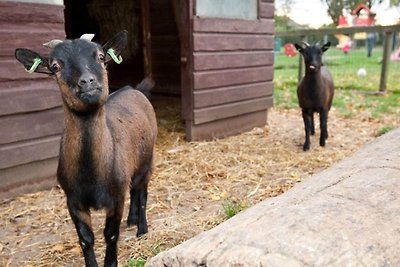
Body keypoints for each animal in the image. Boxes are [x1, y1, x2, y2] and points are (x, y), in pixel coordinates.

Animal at [14, 31, 158, 267]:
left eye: (100, 57)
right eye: (55, 66)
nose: (88, 81)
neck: (92, 173)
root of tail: (134, 89)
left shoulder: (115, 197)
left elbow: (110, 234)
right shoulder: (74, 201)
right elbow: (85, 239)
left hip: (148, 160)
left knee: (142, 192)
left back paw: (142, 229)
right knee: (133, 189)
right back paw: (131, 220)